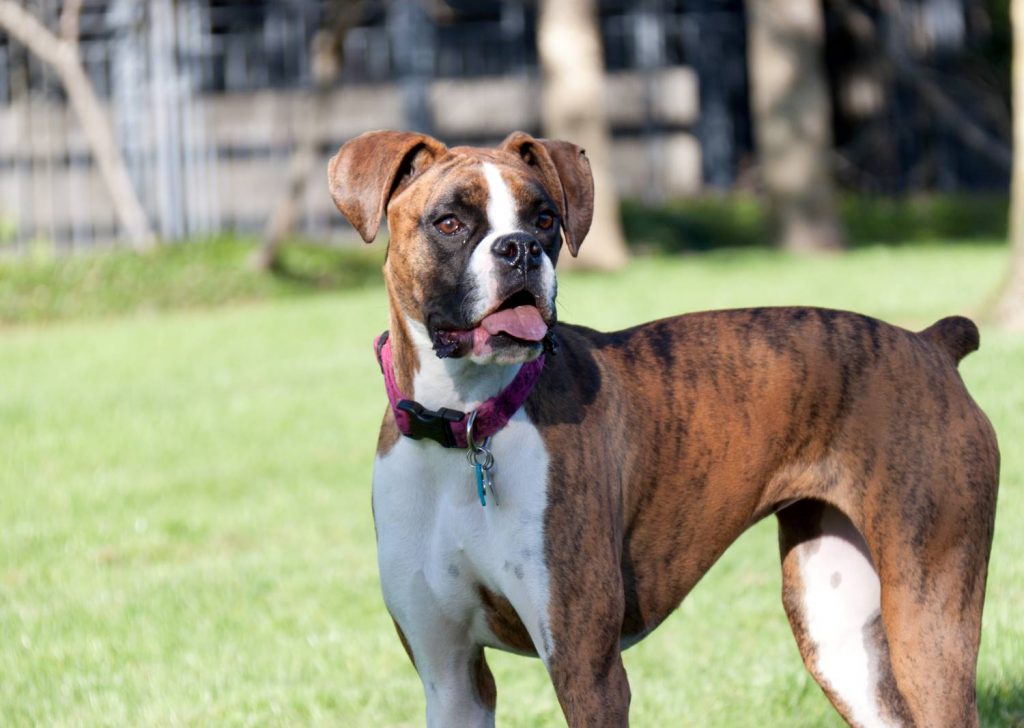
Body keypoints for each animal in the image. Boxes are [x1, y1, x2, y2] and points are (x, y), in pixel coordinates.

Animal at [327, 132, 999, 728]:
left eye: (544, 220)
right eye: (448, 223)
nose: (519, 248)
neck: (465, 425)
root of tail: (930, 345)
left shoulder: (586, 672)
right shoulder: (452, 681)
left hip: (929, 621)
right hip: (839, 635)